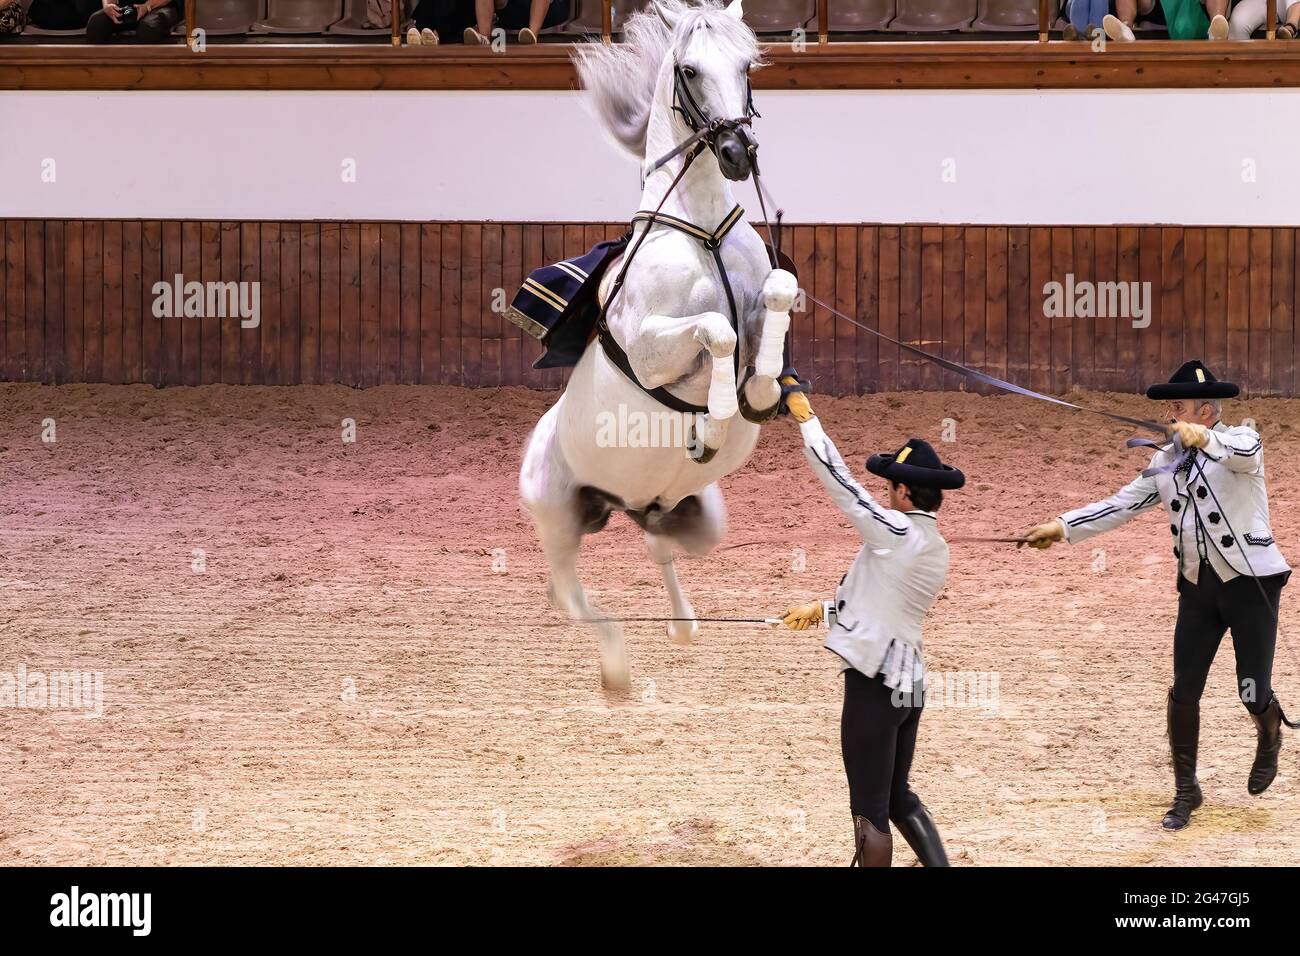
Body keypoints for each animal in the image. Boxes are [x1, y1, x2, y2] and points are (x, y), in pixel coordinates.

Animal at [517, 0, 790, 686]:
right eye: (689, 69)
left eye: (748, 65)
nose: (737, 152)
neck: (700, 229)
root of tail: (624, 504)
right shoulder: (649, 347)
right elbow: (716, 330)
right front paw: (714, 420)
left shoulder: (767, 295)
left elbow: (776, 296)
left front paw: (762, 389)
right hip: (558, 518)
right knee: (571, 594)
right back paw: (617, 671)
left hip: (690, 513)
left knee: (656, 545)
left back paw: (683, 625)